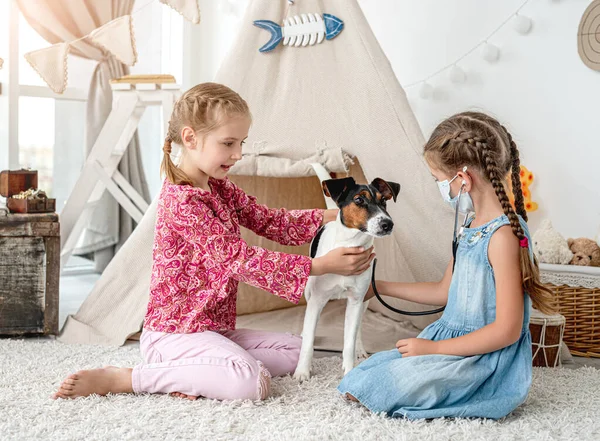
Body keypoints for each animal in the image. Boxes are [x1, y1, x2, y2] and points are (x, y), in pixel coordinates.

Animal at [294, 174, 400, 380]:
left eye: (384, 201)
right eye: (359, 200)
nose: (388, 224)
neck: (350, 245)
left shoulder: (356, 300)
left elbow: (349, 341)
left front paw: (350, 371)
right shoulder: (317, 300)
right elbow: (309, 341)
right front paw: (302, 371)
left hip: (365, 300)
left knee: (357, 329)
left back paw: (360, 349)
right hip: (308, 292)